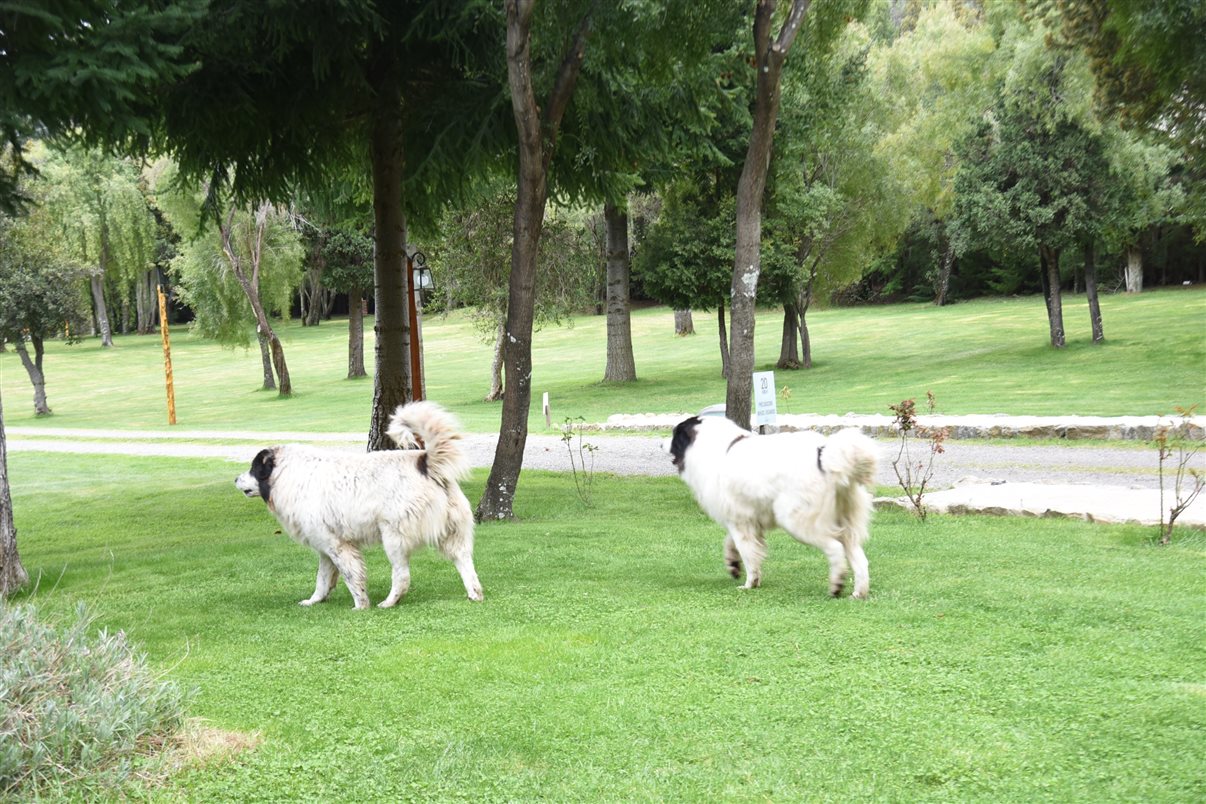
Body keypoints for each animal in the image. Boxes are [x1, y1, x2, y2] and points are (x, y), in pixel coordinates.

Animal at [232, 400, 482, 612]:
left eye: (254, 468)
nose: (235, 479)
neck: (287, 473)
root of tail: (426, 463)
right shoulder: (324, 548)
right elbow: (322, 579)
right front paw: (314, 601)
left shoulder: (337, 545)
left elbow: (352, 577)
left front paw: (360, 605)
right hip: (453, 534)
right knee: (465, 563)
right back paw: (474, 594)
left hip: (393, 537)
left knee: (402, 576)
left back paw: (389, 602)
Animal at [665, 419, 882, 600]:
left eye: (675, 435)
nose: (664, 445)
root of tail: (823, 454)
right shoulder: (748, 519)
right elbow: (733, 543)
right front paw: (733, 564)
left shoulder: (738, 520)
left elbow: (748, 552)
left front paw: (750, 583)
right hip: (846, 522)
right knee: (860, 559)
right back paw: (858, 593)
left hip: (796, 520)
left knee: (835, 548)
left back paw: (836, 585)